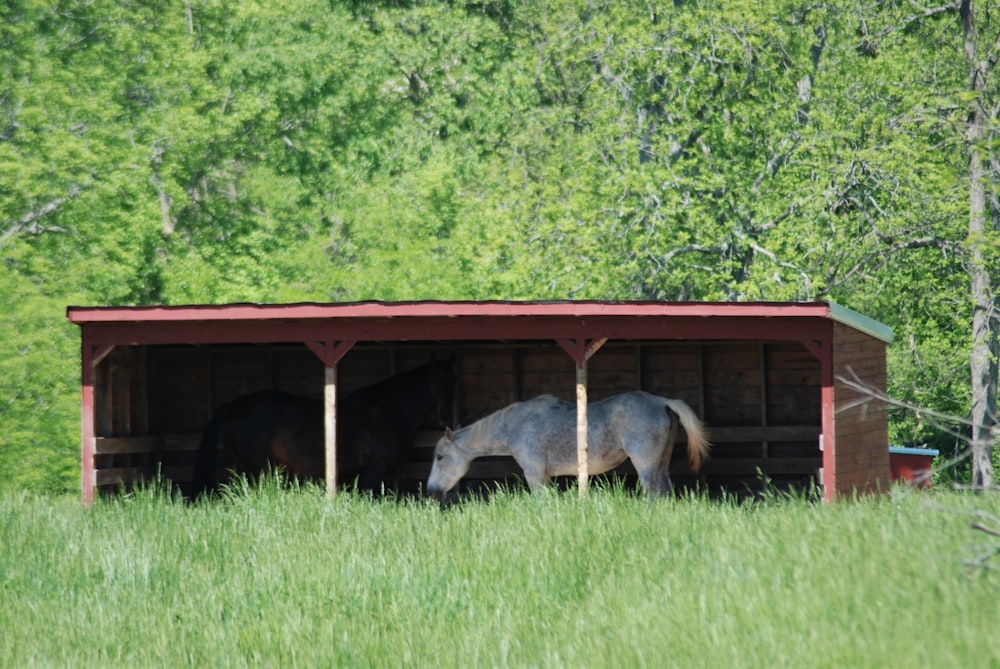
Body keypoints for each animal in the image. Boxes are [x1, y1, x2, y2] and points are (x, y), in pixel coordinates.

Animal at [191, 354, 458, 496]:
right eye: (437, 382)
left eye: (455, 382)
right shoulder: (373, 470)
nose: (446, 418)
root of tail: (231, 406)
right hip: (260, 468)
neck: (389, 411)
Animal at [430, 388, 712, 498]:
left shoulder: (534, 474)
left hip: (647, 466)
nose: (431, 490)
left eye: (440, 457)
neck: (515, 427)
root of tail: (661, 401)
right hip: (661, 464)